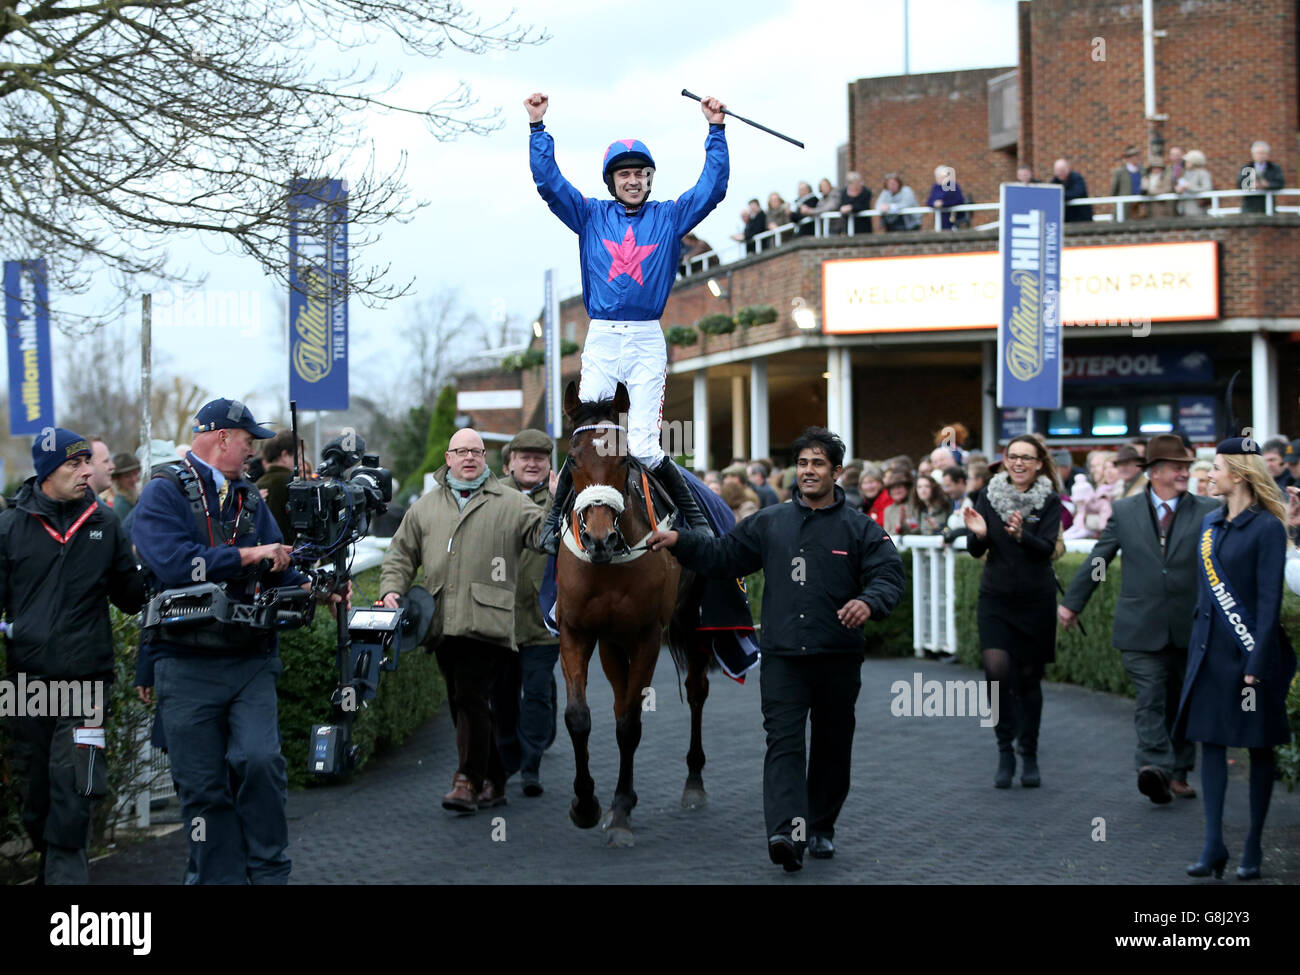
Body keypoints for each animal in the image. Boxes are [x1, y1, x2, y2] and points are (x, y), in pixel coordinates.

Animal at [551, 382, 707, 847]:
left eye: (624, 461)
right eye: (571, 459)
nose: (599, 539)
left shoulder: (647, 636)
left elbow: (629, 726)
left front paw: (619, 811)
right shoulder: (578, 630)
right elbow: (579, 717)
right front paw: (585, 804)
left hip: (693, 621)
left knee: (696, 691)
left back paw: (694, 782)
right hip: (611, 642)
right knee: (621, 699)